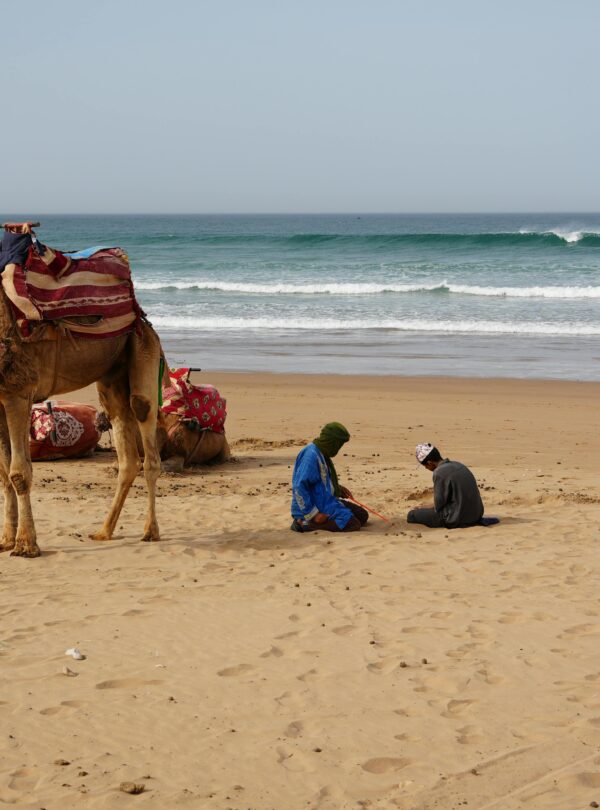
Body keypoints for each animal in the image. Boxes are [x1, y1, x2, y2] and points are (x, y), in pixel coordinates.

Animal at [0, 224, 163, 557]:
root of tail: (140, 315)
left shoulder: (17, 390)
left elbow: (19, 472)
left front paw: (26, 545)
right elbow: (3, 474)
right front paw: (6, 540)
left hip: (142, 347)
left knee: (146, 430)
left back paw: (149, 531)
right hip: (112, 376)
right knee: (127, 454)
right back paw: (103, 531)